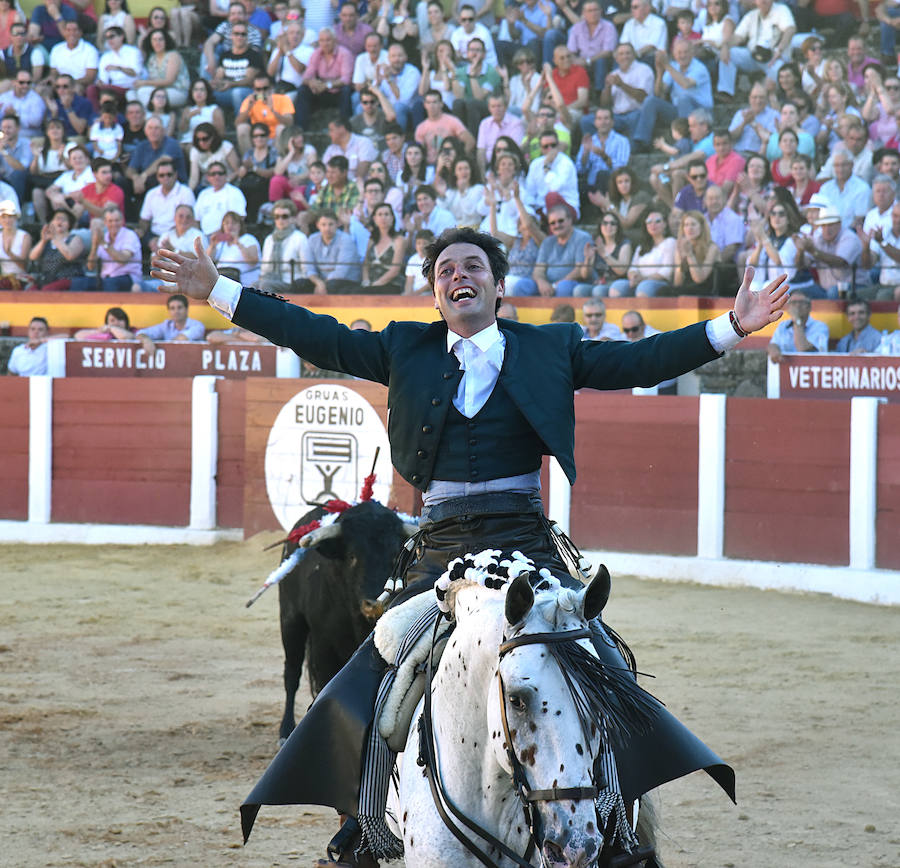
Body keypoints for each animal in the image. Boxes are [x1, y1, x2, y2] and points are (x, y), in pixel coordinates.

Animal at [276, 498, 416, 744]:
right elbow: (323, 682)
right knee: (292, 673)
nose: (374, 603)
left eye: (394, 556)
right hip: (290, 620)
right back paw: (286, 731)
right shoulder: (322, 645)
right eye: (352, 556)